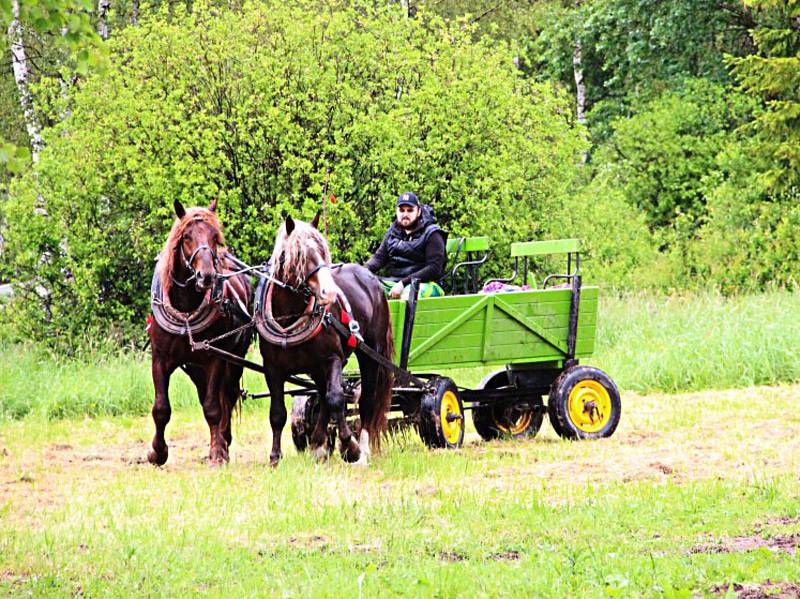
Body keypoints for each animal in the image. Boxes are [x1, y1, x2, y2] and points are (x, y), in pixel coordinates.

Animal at [147, 199, 252, 466]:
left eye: (215, 237)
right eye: (186, 237)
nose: (206, 275)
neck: (186, 309)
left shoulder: (215, 358)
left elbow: (213, 408)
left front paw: (217, 453)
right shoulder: (160, 359)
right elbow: (161, 408)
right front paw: (157, 452)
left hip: (234, 359)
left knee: (227, 396)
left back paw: (224, 441)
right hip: (195, 368)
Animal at [256, 213, 394, 466]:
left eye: (323, 250)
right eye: (300, 255)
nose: (329, 293)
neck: (290, 318)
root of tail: (370, 277)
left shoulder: (333, 359)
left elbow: (336, 399)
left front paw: (350, 447)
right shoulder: (272, 368)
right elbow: (278, 413)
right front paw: (275, 457)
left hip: (371, 352)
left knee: (365, 400)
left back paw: (362, 451)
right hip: (316, 367)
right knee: (320, 394)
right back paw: (319, 444)